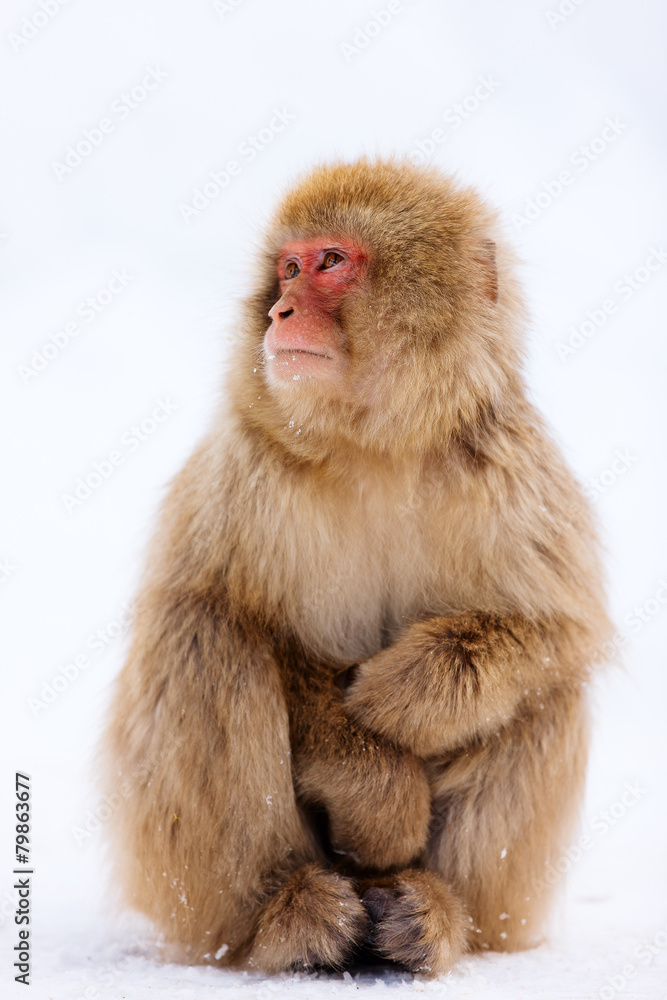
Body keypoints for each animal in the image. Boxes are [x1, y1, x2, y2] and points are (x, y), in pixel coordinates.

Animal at [102, 158, 611, 977]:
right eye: (287, 267)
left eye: (331, 262)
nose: (279, 311)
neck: (374, 447)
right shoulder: (246, 469)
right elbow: (233, 613)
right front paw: (378, 787)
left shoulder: (509, 467)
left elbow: (555, 631)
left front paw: (403, 698)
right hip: (189, 898)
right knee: (203, 631)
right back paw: (286, 918)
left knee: (545, 692)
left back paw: (435, 916)